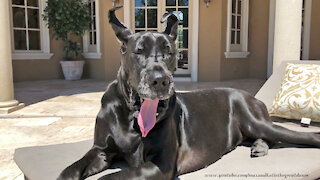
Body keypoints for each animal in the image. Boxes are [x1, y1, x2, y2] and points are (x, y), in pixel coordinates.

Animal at [57, 7, 320, 180]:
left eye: (170, 52)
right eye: (138, 51)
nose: (160, 80)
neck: (132, 113)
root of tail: (250, 95)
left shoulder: (160, 165)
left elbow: (110, 178)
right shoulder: (100, 151)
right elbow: (71, 169)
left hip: (256, 120)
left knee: (293, 135)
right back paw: (258, 147)